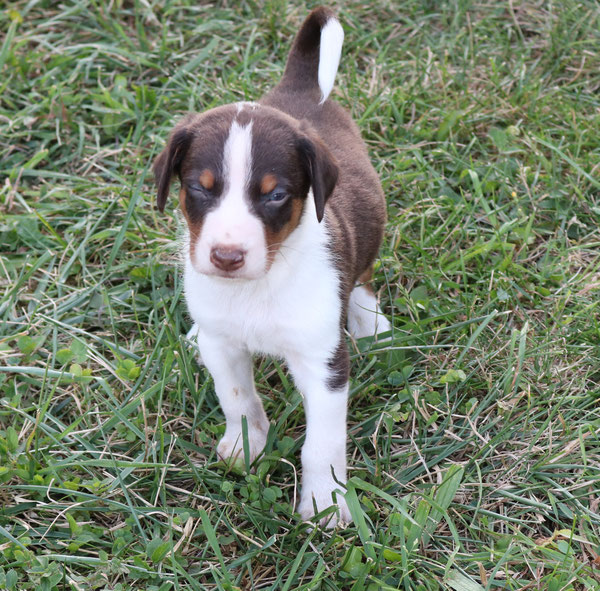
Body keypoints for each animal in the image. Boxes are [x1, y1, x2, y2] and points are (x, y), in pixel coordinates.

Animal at [152, 5, 392, 528]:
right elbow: (238, 399)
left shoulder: (325, 363)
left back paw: (370, 322)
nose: (226, 256)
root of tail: (300, 91)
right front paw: (246, 446)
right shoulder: (225, 345)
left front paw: (325, 502)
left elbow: (322, 444)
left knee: (363, 276)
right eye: (199, 188)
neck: (257, 286)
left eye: (275, 195)